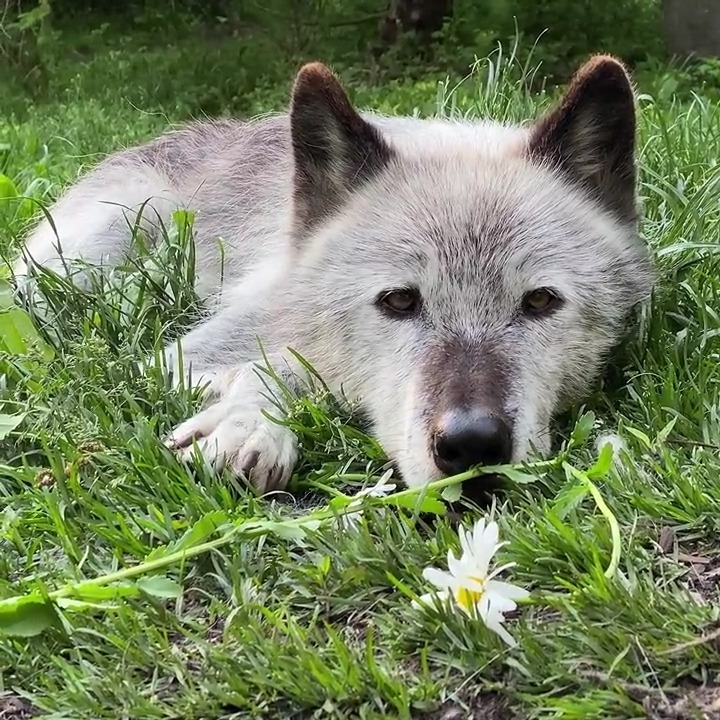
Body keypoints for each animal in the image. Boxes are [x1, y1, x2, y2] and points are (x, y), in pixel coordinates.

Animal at [13, 55, 654, 499]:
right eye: (398, 301)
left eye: (540, 302)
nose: (472, 444)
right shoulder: (182, 356)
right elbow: (277, 368)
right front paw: (249, 425)